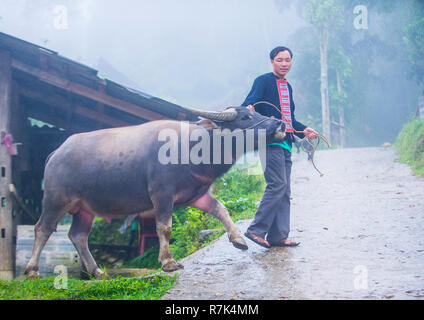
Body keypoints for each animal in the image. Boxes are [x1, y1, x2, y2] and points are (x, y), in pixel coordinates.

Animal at [25, 106, 284, 278]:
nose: (280, 124)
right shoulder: (162, 195)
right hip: (57, 200)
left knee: (78, 236)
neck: (192, 147)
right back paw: (33, 271)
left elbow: (221, 209)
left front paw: (239, 239)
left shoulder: (197, 194)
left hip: (85, 209)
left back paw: (98, 272)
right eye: (245, 117)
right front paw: (168, 262)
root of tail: (56, 153)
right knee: (42, 229)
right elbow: (164, 227)